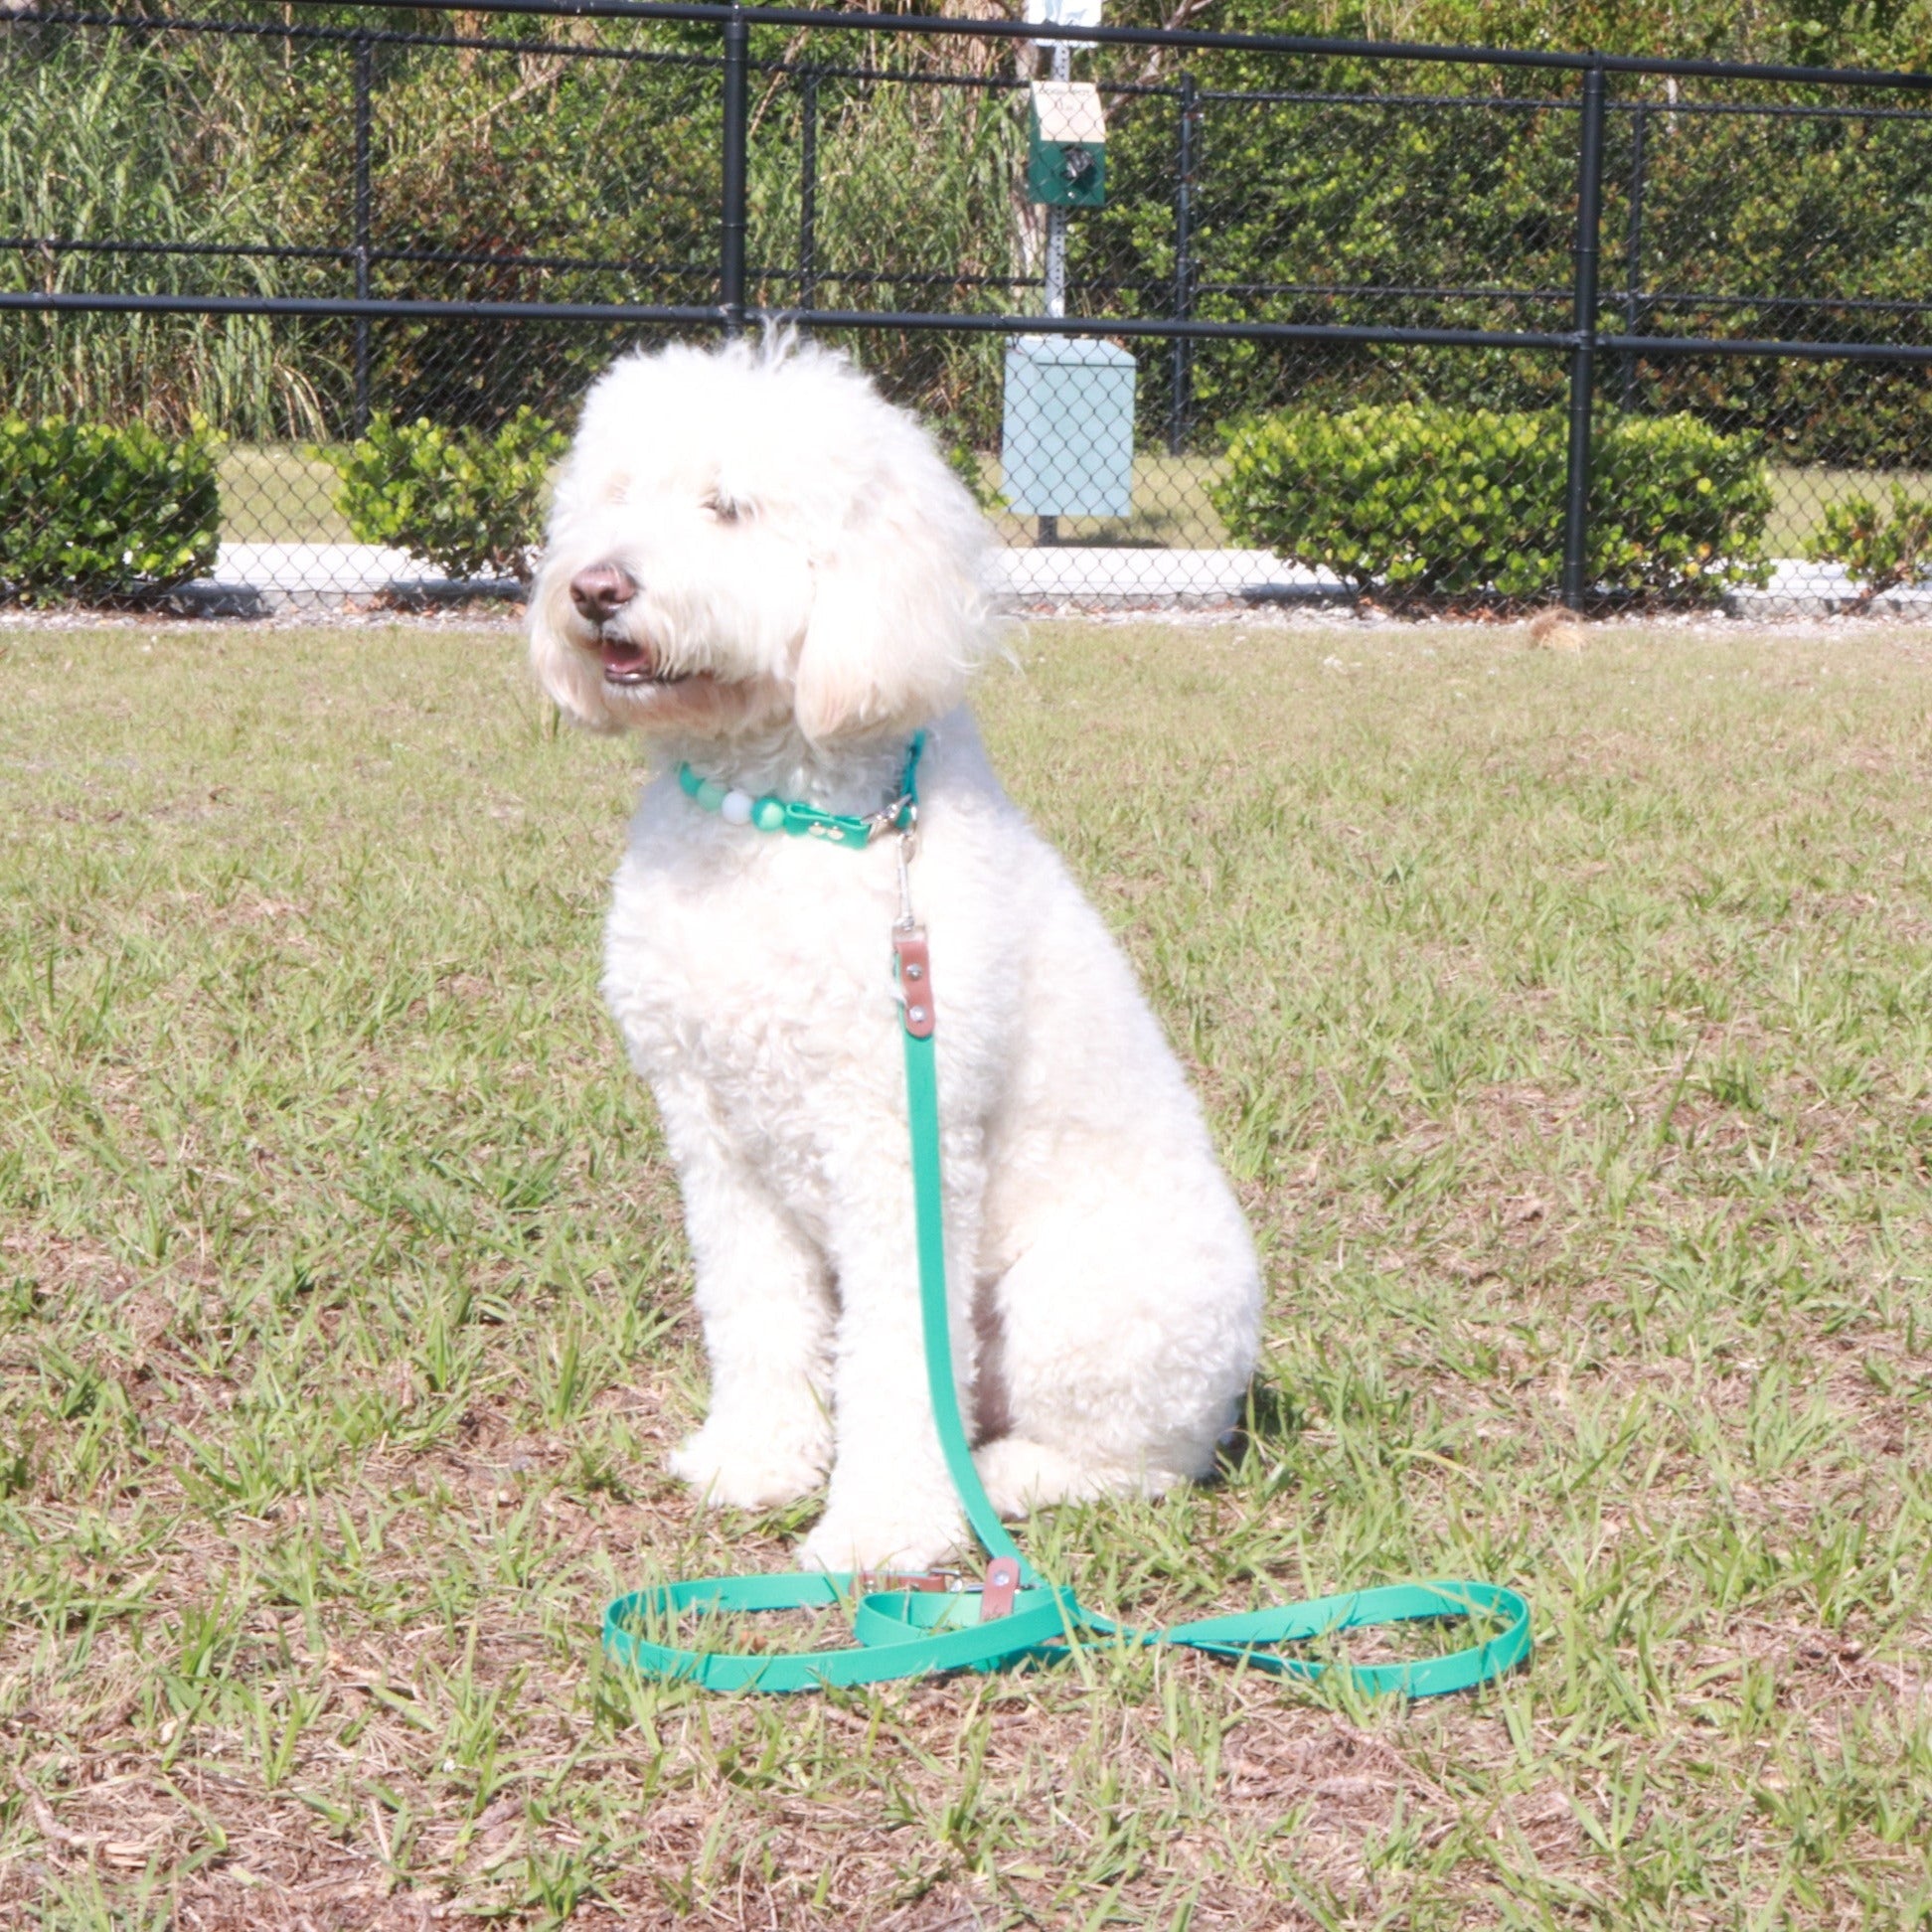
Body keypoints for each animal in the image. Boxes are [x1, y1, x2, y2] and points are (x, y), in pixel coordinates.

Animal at [521, 336, 1259, 1568]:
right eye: (613, 497)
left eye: (729, 507)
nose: (595, 590)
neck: (772, 823)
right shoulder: (712, 1134)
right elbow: (754, 1311)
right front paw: (756, 1460)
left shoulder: (895, 1141)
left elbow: (900, 1358)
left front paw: (880, 1529)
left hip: (1087, 1304)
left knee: (1144, 1466)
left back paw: (1006, 1480)